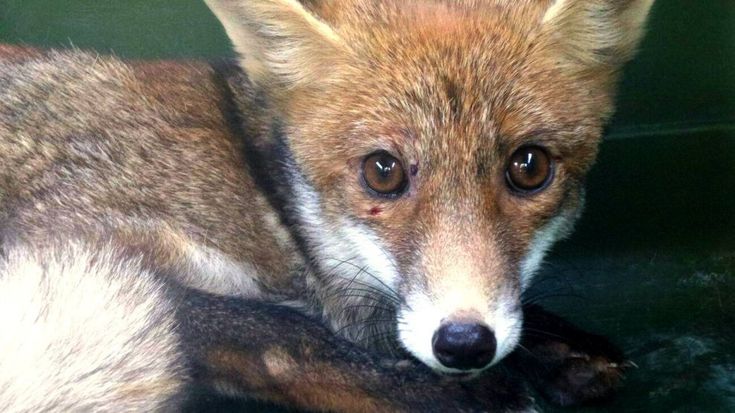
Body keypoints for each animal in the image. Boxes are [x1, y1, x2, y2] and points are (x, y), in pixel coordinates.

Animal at [0, 0, 655, 411]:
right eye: (383, 172)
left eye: (529, 167)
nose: (466, 344)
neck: (266, 199)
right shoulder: (60, 236)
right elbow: (280, 334)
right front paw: (444, 395)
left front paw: (557, 348)